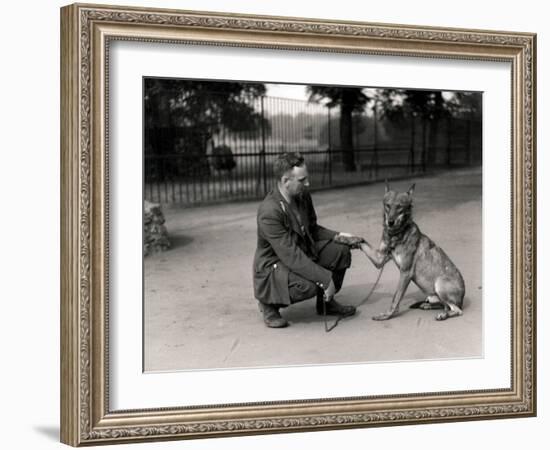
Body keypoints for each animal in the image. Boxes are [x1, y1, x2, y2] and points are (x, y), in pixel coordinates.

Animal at [360, 183, 468, 320]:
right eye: (388, 205)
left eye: (400, 207)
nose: (390, 222)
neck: (396, 235)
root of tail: (462, 300)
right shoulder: (379, 259)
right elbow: (361, 241)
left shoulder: (405, 273)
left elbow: (396, 297)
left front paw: (388, 315)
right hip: (433, 296)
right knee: (444, 305)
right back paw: (429, 306)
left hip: (439, 285)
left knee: (457, 310)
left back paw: (443, 315)